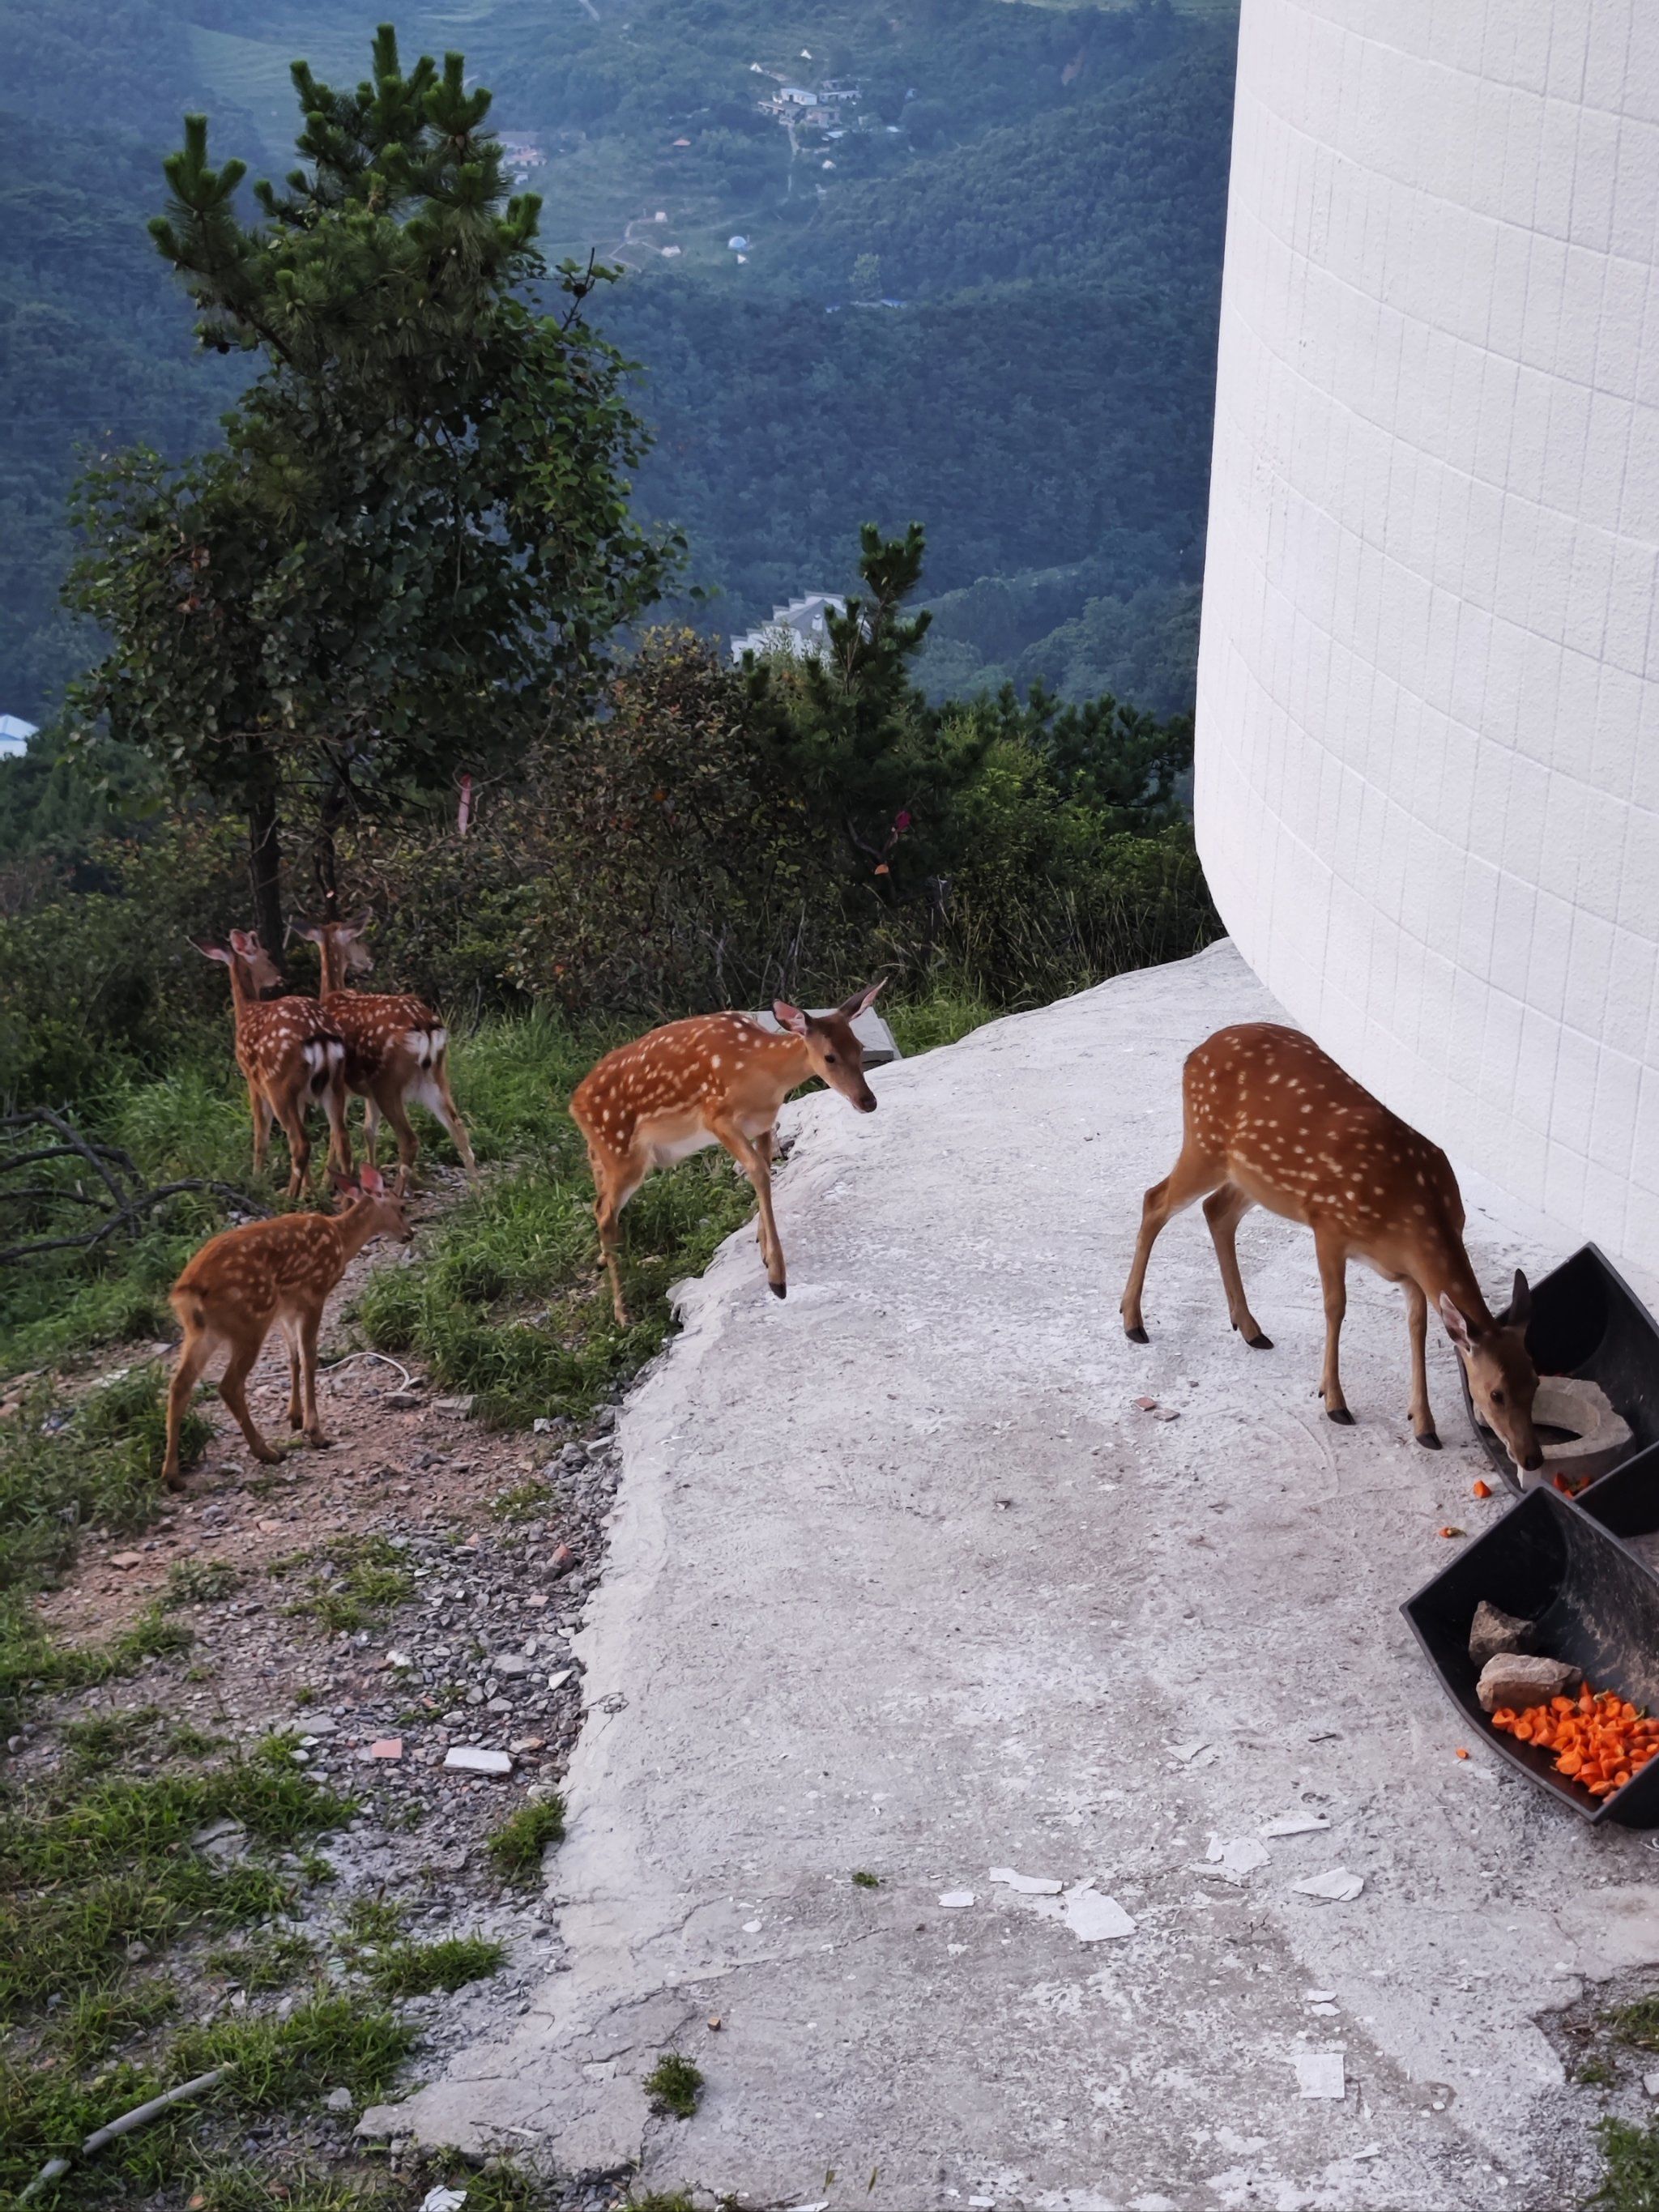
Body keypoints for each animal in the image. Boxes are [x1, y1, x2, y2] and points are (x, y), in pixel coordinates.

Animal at [162, 1163, 413, 1487]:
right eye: (402, 1206)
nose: (410, 1234)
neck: (341, 1240)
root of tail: (188, 1290)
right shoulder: (314, 1293)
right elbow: (309, 1359)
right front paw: (315, 1431)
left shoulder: (286, 1309)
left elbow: (292, 1357)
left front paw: (294, 1417)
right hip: (250, 1320)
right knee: (229, 1385)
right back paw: (266, 1452)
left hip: (202, 1332)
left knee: (180, 1385)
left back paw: (172, 1476)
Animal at [193, 929, 351, 1198]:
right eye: (267, 955)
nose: (279, 975)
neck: (246, 1012)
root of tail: (319, 1033)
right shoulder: (299, 1095)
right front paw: (309, 1189)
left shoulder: (252, 1081)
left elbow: (260, 1135)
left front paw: (256, 1180)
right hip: (334, 1082)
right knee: (340, 1136)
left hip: (279, 1082)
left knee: (300, 1142)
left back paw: (288, 1198)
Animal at [292, 917, 476, 1193]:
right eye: (357, 940)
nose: (368, 959)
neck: (331, 994)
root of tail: (425, 1027)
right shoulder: (365, 1092)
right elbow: (368, 1130)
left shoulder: (341, 1086)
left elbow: (338, 1133)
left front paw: (328, 1182)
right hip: (435, 1076)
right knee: (459, 1127)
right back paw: (481, 1193)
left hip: (387, 1081)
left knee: (409, 1140)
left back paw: (398, 1195)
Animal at [571, 983, 887, 1325]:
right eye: (829, 1056)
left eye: (860, 1047)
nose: (868, 1101)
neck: (760, 1074)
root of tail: (574, 1103)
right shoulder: (716, 1116)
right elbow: (757, 1171)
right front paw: (777, 1279)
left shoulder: (763, 1122)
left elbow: (764, 1169)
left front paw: (763, 1251)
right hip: (623, 1153)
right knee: (604, 1212)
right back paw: (622, 1312)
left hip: (605, 1152)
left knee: (599, 1198)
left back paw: (605, 1264)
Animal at [1119, 1022, 1545, 1472]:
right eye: (1496, 1393)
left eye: (1535, 1380)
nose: (1532, 1458)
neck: (1411, 1212)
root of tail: (1194, 1054)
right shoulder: (1327, 1225)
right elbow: (1335, 1307)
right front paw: (1335, 1402)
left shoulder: (1409, 1272)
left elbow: (1418, 1328)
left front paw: (1424, 1426)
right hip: (1204, 1143)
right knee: (1154, 1199)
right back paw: (1133, 1322)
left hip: (1254, 1179)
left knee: (1216, 1211)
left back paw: (1251, 1329)